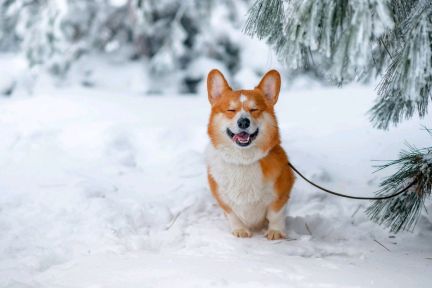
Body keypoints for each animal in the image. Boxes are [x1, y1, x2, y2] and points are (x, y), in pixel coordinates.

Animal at [205, 68, 294, 240]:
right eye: (231, 110)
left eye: (254, 109)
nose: (243, 122)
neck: (243, 160)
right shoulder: (223, 199)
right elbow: (232, 215)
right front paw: (240, 230)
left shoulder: (281, 193)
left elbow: (275, 214)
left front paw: (275, 232)